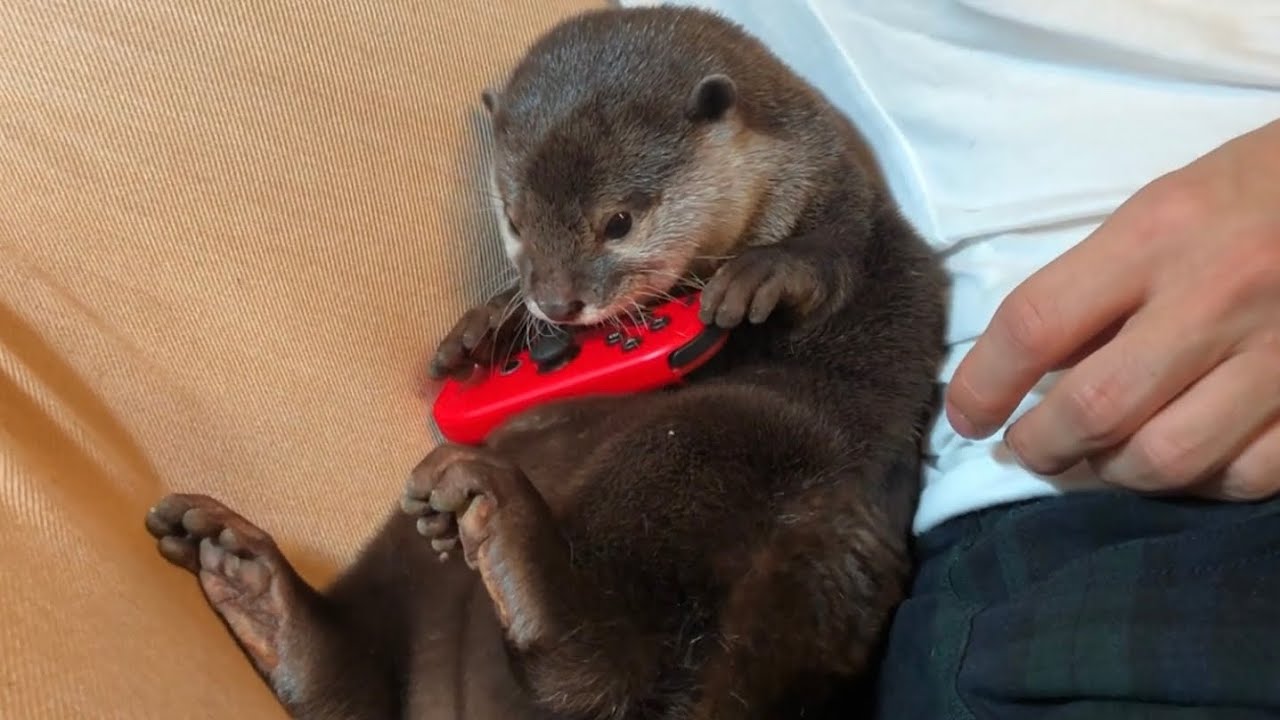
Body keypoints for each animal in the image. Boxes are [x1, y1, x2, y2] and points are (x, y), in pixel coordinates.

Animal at [144, 6, 948, 720]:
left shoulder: (857, 217)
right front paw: (480, 333)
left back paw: (515, 553)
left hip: (726, 439)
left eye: (620, 221)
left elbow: (845, 265)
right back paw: (253, 583)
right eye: (515, 219)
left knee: (611, 669)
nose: (558, 304)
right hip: (405, 567)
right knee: (359, 681)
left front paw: (768, 275)